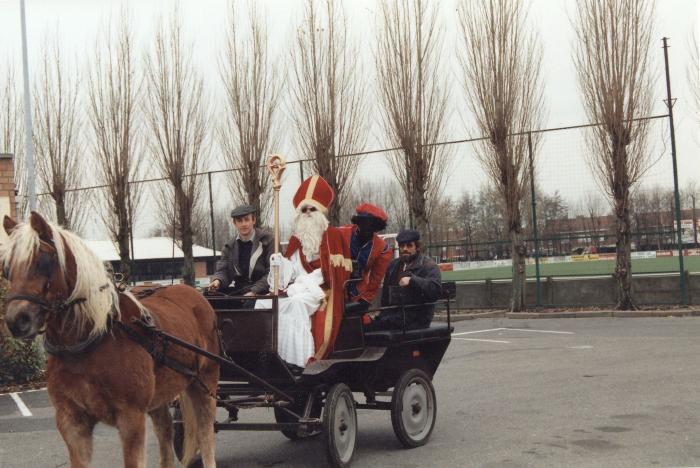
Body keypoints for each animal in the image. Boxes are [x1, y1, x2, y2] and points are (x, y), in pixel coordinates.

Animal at [0, 213, 219, 468]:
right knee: (165, 431)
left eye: (43, 260)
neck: (88, 342)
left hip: (204, 382)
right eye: (6, 268)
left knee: (205, 435)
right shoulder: (71, 422)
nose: (17, 320)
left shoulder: (131, 418)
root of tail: (197, 295)